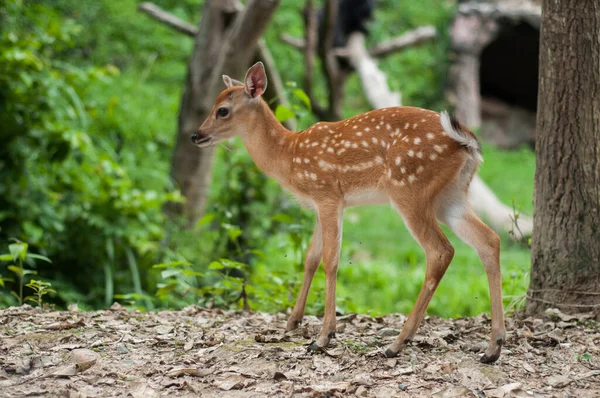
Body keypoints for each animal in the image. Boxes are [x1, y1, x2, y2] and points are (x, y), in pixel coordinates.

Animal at [193, 62, 506, 364]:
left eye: (222, 110)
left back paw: (397, 344)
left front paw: (323, 337)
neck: (288, 156)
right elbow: (310, 258)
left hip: (408, 188)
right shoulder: (320, 205)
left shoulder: (328, 195)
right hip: (450, 196)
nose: (196, 135)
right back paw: (493, 347)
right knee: (489, 240)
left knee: (440, 250)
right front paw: (293, 322)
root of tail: (466, 142)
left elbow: (331, 260)